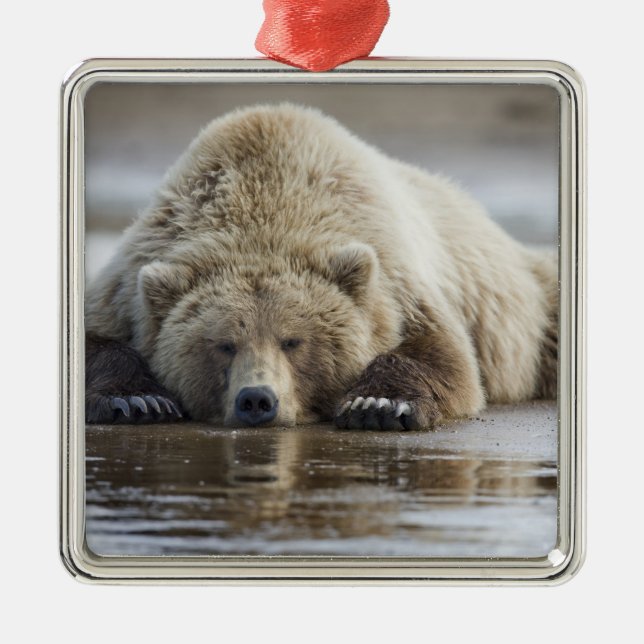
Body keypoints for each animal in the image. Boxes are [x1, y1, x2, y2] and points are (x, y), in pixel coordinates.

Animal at [85, 103, 558, 430]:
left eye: (293, 341)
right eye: (223, 344)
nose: (256, 400)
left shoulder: (396, 278)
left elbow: (443, 356)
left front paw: (379, 406)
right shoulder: (133, 274)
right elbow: (97, 340)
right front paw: (137, 401)